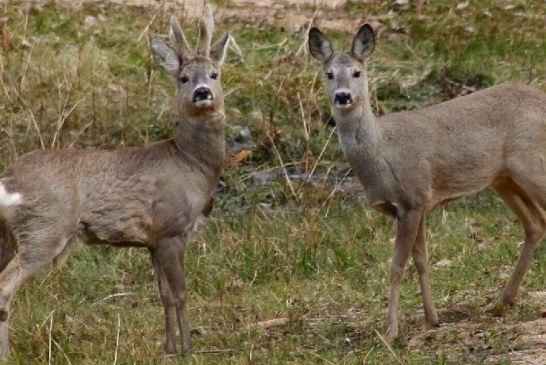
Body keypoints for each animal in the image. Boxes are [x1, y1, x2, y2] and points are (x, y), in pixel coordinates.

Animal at [0, 6, 228, 358]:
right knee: (5, 287)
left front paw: (169, 348)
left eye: (214, 74)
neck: (191, 164)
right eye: (183, 78)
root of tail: (8, 180)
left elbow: (163, 294)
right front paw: (188, 351)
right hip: (44, 228)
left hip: (9, 237)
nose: (202, 93)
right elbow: (181, 293)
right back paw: (7, 354)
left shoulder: (153, 239)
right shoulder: (171, 229)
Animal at [308, 24, 544, 342]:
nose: (343, 96)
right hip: (504, 178)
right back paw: (502, 302)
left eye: (357, 72)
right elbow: (421, 260)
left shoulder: (411, 199)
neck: (381, 152)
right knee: (536, 224)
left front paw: (391, 331)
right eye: (329, 74)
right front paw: (431, 319)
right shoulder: (417, 204)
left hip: (529, 164)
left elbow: (397, 266)